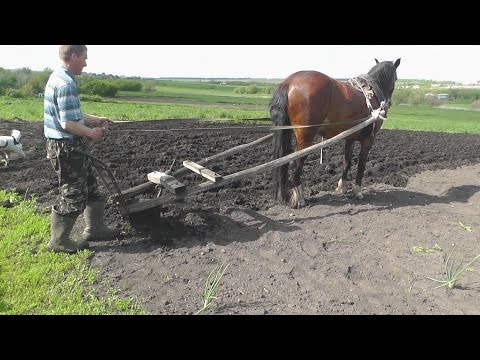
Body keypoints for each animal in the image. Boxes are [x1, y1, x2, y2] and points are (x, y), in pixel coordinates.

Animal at [270, 59, 402, 208]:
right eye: (396, 78)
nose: (389, 103)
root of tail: (289, 82)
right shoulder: (369, 139)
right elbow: (362, 164)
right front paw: (357, 191)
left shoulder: (350, 138)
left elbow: (347, 162)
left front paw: (341, 187)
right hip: (305, 139)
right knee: (295, 164)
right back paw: (300, 198)